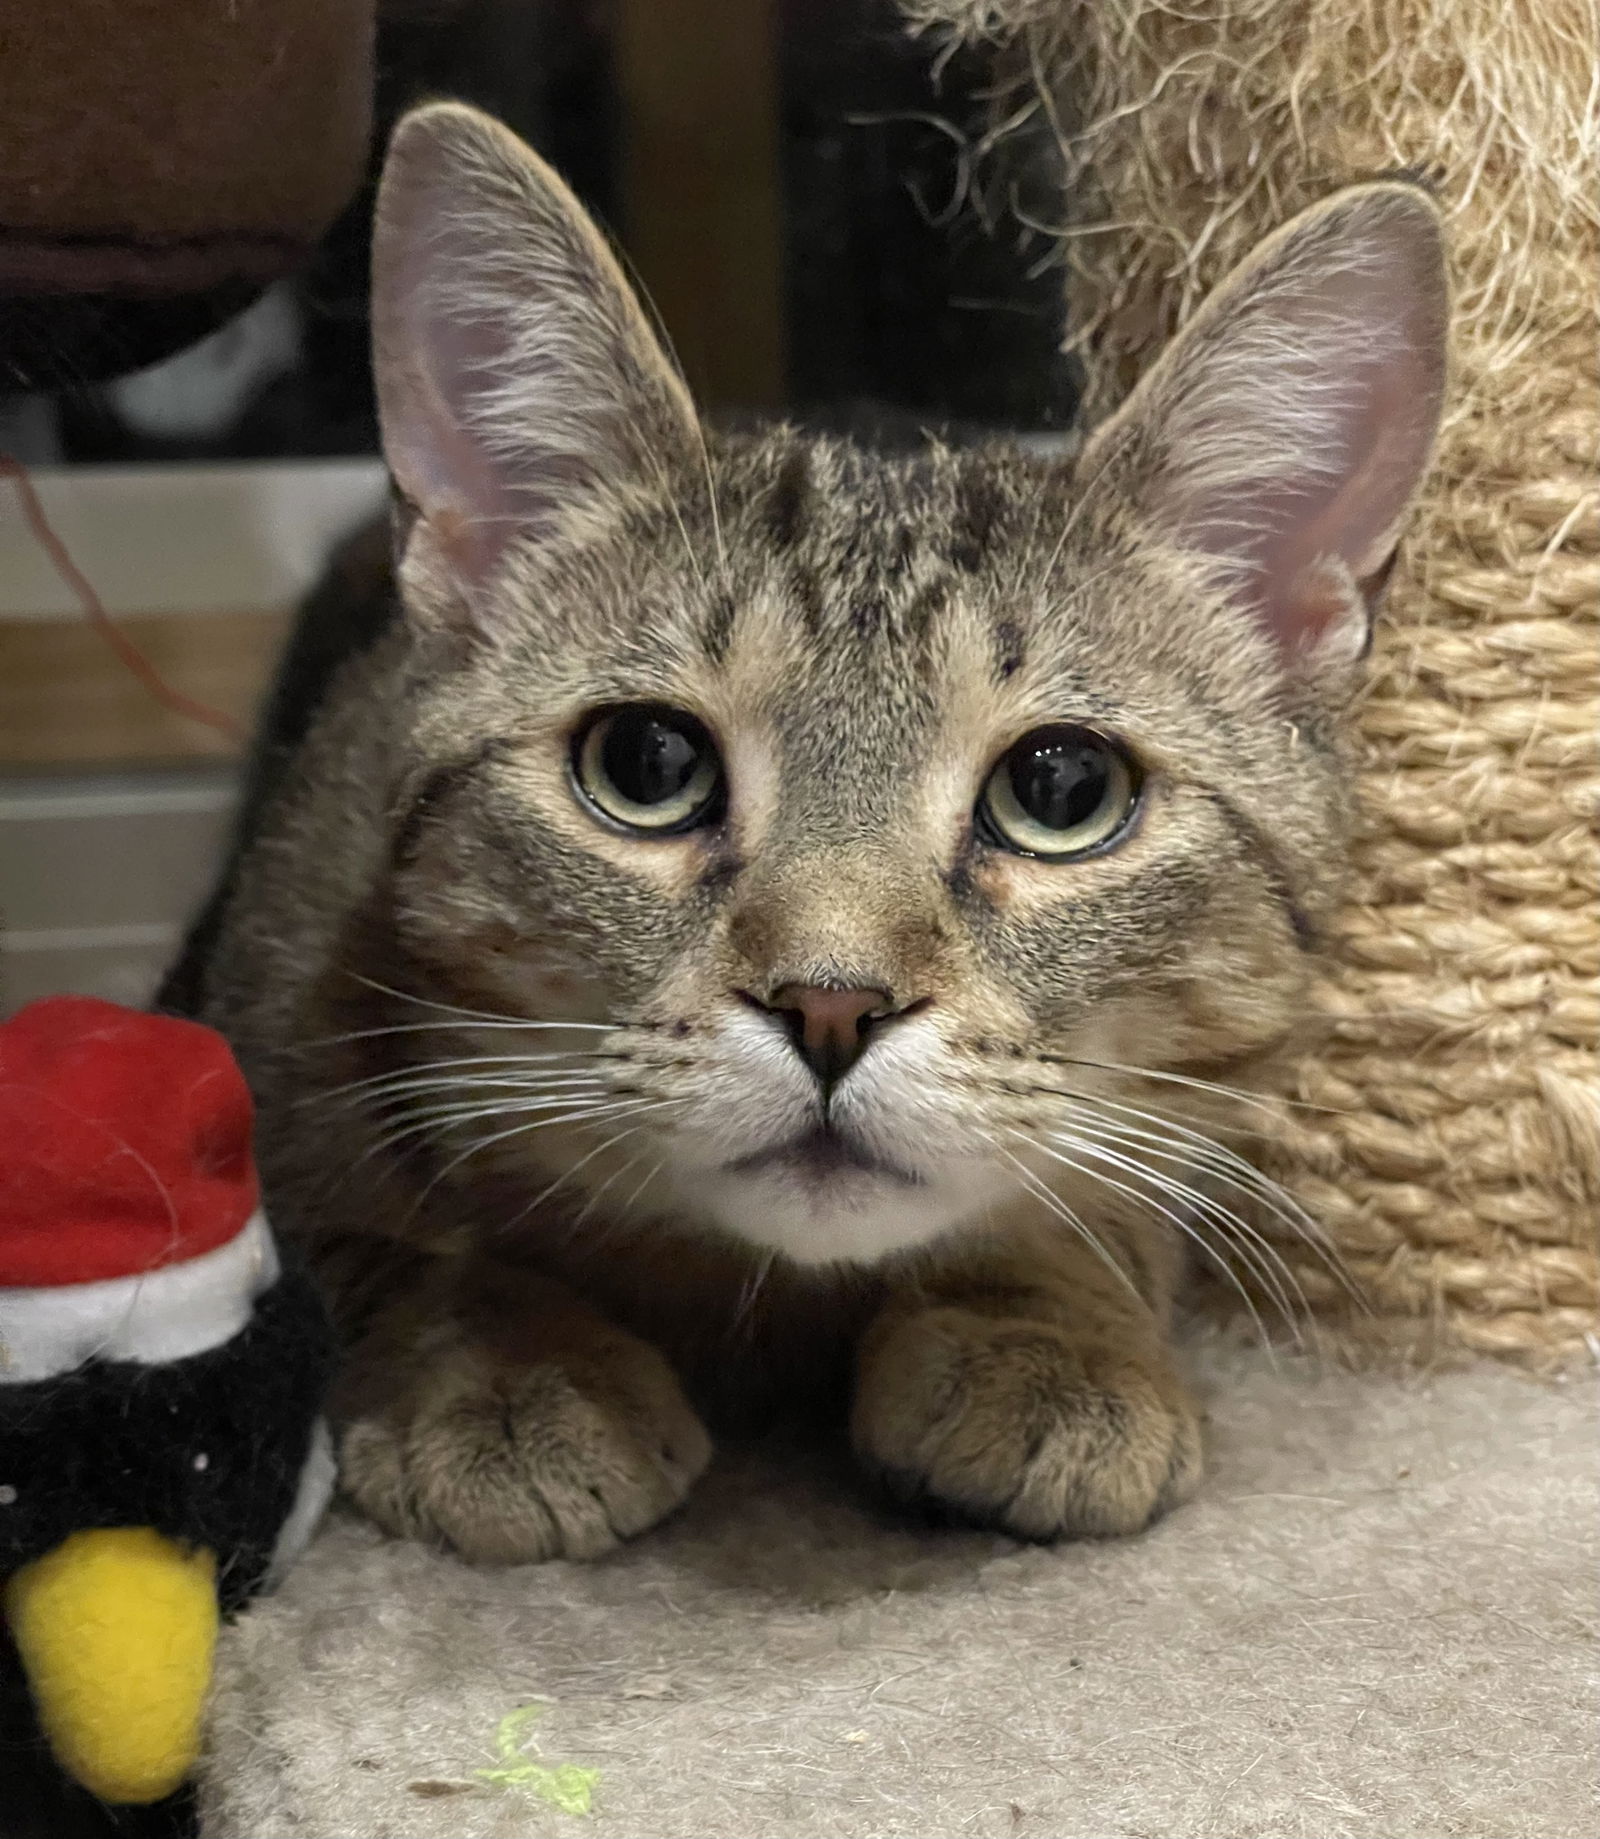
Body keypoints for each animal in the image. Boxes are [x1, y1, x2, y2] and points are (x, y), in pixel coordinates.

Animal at [178, 100, 1456, 1559]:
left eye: (1061, 789)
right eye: (648, 763)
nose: (832, 1003)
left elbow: (1097, 1207)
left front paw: (1045, 1325)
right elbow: (378, 1235)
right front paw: (503, 1357)